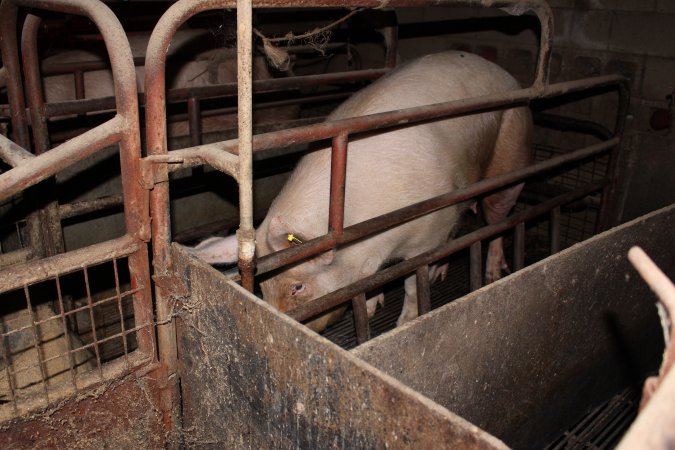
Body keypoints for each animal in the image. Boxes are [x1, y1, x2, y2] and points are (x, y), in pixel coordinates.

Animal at [187, 51, 532, 332]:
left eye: (297, 287)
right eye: (263, 286)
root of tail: (504, 72)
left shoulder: (429, 230)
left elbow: (412, 281)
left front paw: (404, 322)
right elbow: (370, 281)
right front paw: (371, 306)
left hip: (511, 151)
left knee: (498, 219)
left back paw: (492, 274)